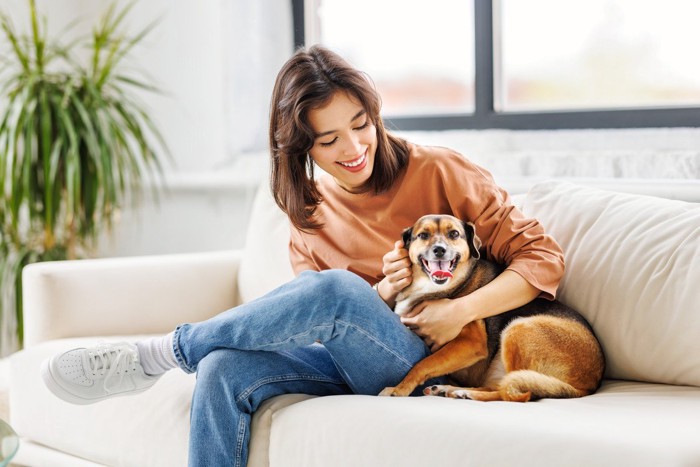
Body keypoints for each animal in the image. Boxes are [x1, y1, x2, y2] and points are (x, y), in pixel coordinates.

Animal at [380, 216, 604, 402]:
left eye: (454, 234)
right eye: (423, 235)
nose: (439, 250)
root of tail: (588, 385)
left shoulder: (471, 342)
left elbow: (424, 363)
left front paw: (399, 388)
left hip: (518, 328)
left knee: (515, 393)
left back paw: (466, 393)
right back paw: (450, 389)